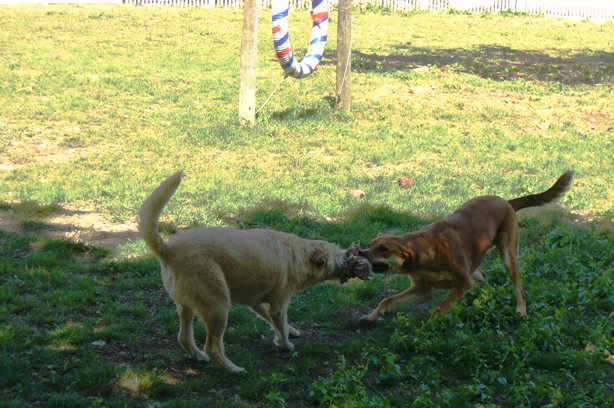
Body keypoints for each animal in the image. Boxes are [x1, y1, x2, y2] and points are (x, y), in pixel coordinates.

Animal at [140, 171, 370, 372]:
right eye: (339, 256)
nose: (355, 255)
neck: (299, 255)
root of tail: (169, 250)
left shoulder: (256, 302)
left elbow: (274, 322)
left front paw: (288, 332)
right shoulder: (278, 305)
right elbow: (279, 323)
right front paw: (286, 344)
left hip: (186, 307)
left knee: (185, 338)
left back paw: (199, 357)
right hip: (218, 306)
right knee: (213, 347)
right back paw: (233, 369)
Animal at [358, 171, 576, 322]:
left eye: (383, 249)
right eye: (370, 244)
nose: (360, 252)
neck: (424, 251)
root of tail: (505, 202)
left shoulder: (462, 282)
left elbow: (440, 308)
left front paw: (429, 326)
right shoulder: (422, 290)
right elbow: (386, 300)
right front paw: (370, 317)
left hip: (508, 257)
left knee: (519, 288)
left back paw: (520, 310)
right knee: (482, 275)